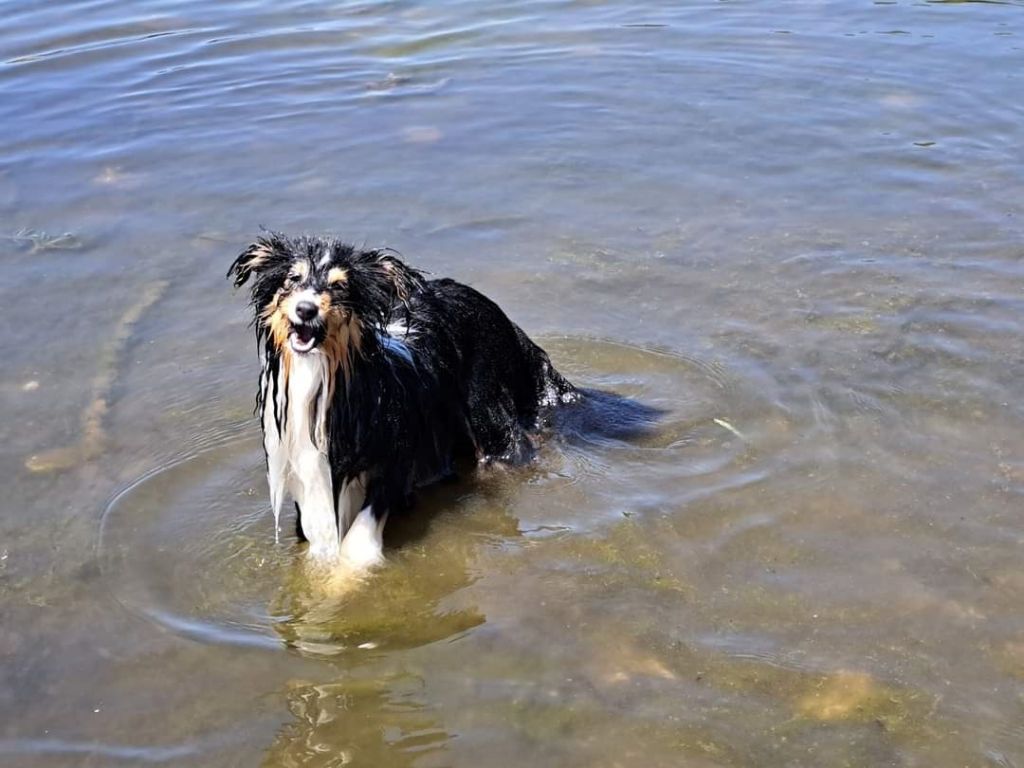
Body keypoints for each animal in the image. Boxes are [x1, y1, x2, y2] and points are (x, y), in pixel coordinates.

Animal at [232, 231, 581, 569]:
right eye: (292, 278)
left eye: (340, 285)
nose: (306, 309)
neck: (325, 380)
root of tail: (498, 313)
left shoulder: (395, 459)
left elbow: (357, 546)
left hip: (490, 420)